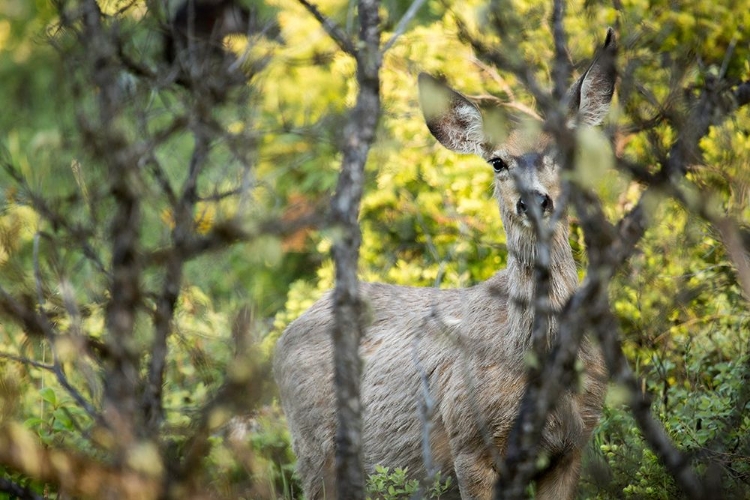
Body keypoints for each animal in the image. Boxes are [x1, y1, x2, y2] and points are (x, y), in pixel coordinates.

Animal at [274, 29, 620, 498]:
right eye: (497, 161)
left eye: (563, 154)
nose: (534, 200)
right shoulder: (468, 441)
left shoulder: (573, 445)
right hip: (314, 454)